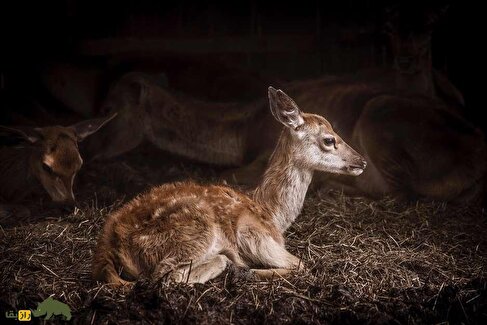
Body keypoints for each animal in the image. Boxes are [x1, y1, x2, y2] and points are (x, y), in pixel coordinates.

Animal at [92, 86, 366, 284]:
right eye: (329, 139)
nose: (361, 161)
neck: (271, 214)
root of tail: (109, 241)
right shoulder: (253, 234)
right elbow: (301, 264)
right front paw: (247, 271)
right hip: (195, 232)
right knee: (167, 275)